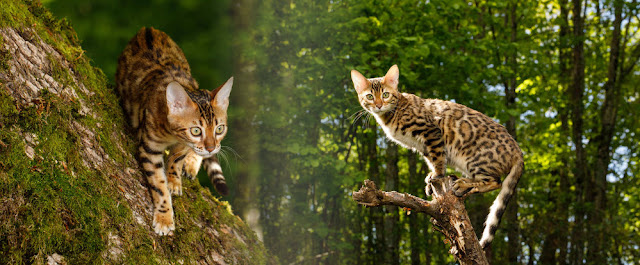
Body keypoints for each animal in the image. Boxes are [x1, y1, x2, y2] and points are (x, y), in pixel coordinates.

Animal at [117, 26, 232, 233]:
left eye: (219, 129)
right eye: (196, 131)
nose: (212, 147)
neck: (173, 136)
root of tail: (147, 28)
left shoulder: (185, 145)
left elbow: (177, 160)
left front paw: (174, 179)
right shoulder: (149, 148)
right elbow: (158, 184)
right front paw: (164, 216)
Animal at [350, 64, 524, 248]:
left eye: (385, 94)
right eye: (369, 96)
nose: (378, 105)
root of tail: (518, 151)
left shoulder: (431, 132)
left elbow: (438, 158)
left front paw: (438, 175)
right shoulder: (422, 146)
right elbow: (431, 160)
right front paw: (431, 177)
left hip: (475, 159)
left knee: (496, 182)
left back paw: (462, 184)